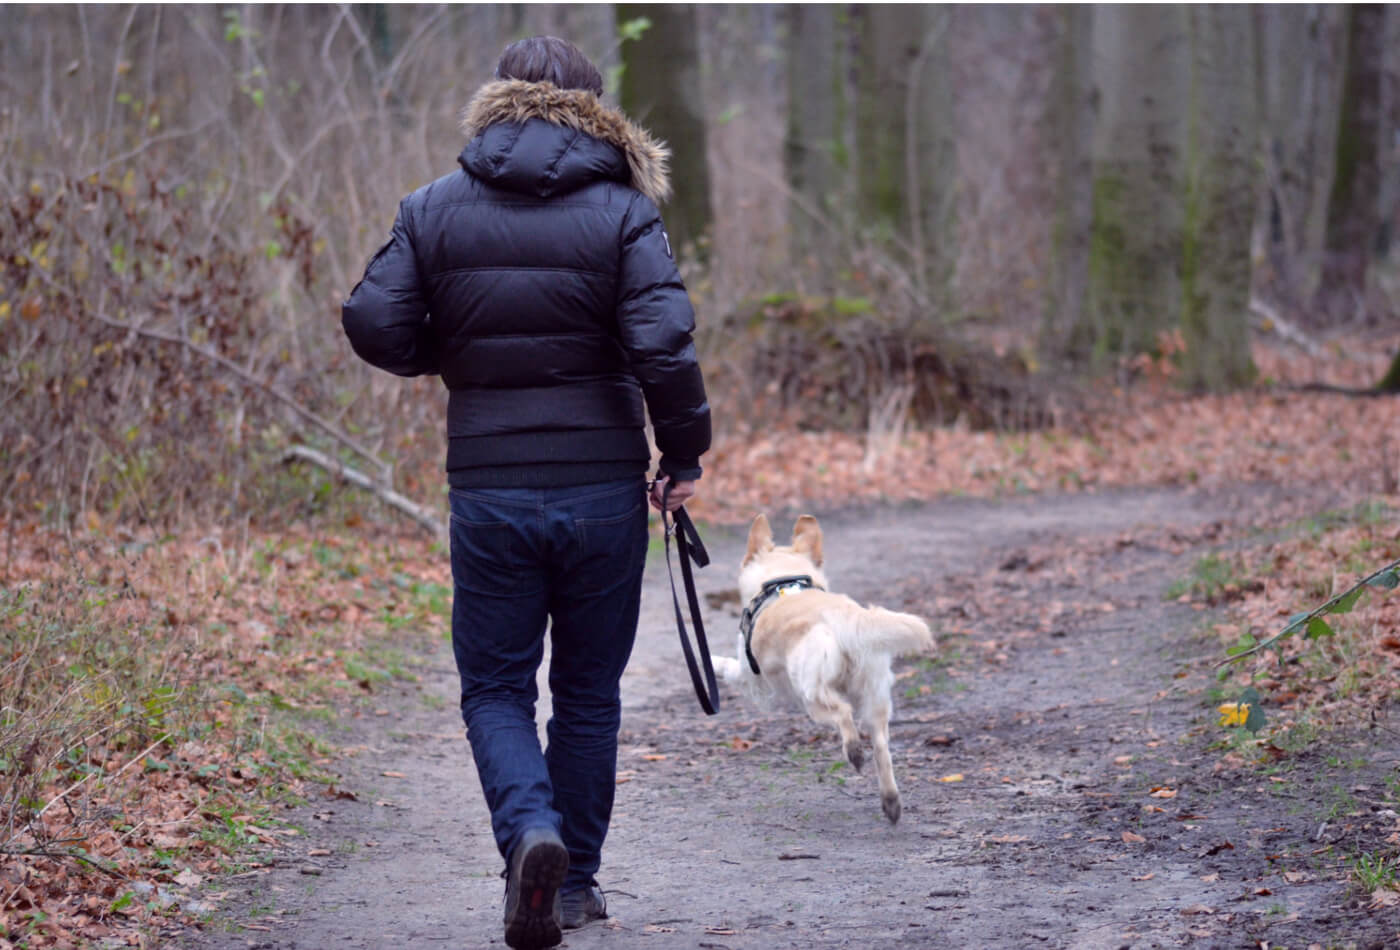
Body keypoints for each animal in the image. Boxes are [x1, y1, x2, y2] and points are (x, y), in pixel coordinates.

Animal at [716, 512, 935, 822]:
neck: (783, 582)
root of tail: (846, 619)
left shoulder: (754, 681)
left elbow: (728, 667)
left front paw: (711, 662)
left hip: (812, 695)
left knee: (843, 714)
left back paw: (854, 752)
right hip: (875, 697)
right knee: (881, 748)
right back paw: (890, 802)